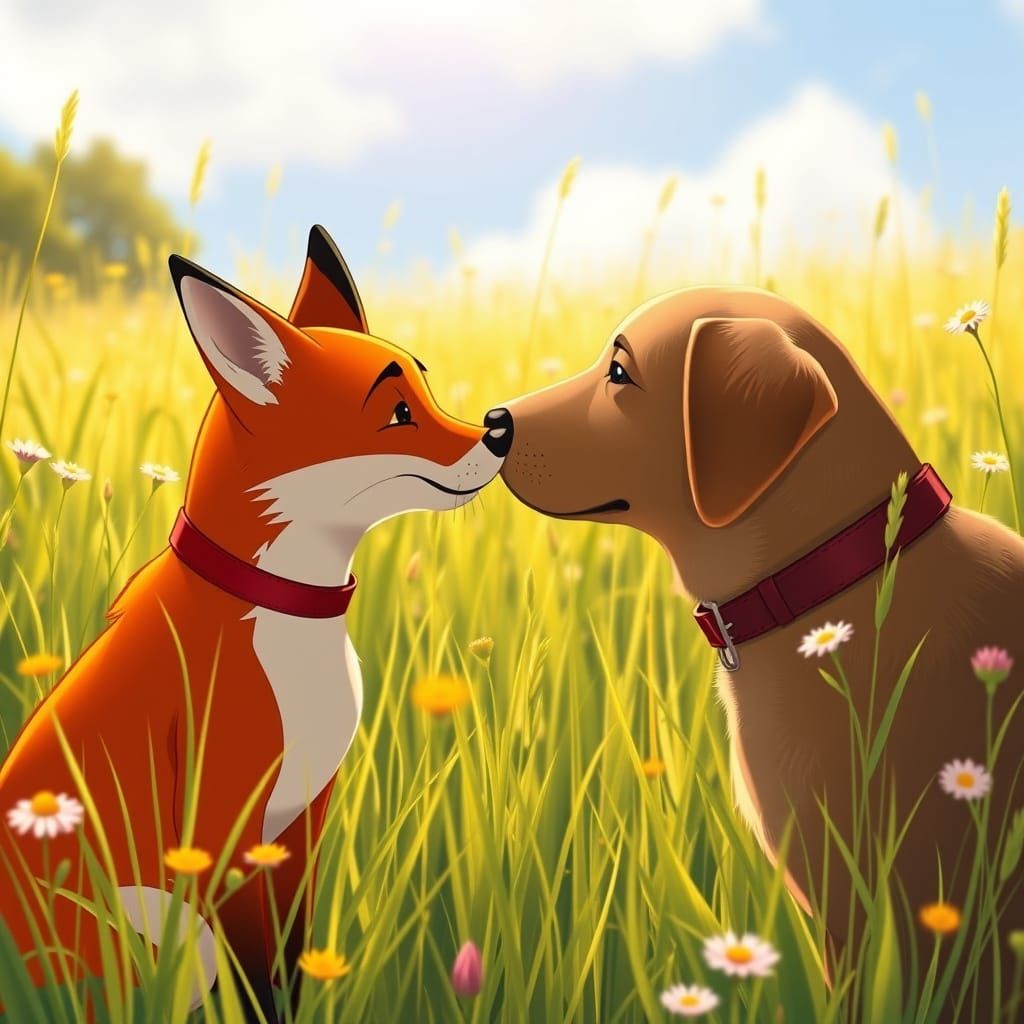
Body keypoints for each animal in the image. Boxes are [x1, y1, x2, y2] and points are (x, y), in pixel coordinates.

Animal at [0, 225, 513, 1020]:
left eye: (428, 386)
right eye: (398, 412)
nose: (501, 427)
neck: (285, 609)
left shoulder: (300, 823)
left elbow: (291, 964)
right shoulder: (222, 822)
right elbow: (250, 982)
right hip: (157, 925)